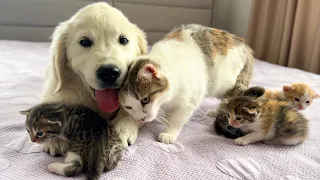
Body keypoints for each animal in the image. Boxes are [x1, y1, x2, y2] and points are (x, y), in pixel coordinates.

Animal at [40, 2, 149, 155]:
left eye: (123, 40)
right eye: (85, 42)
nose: (109, 73)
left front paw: (122, 127)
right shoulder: (53, 89)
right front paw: (54, 137)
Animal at [117, 23, 255, 144]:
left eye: (145, 100)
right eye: (128, 107)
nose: (142, 118)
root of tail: (245, 45)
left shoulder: (190, 100)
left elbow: (177, 118)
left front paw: (169, 133)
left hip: (223, 82)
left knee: (231, 96)